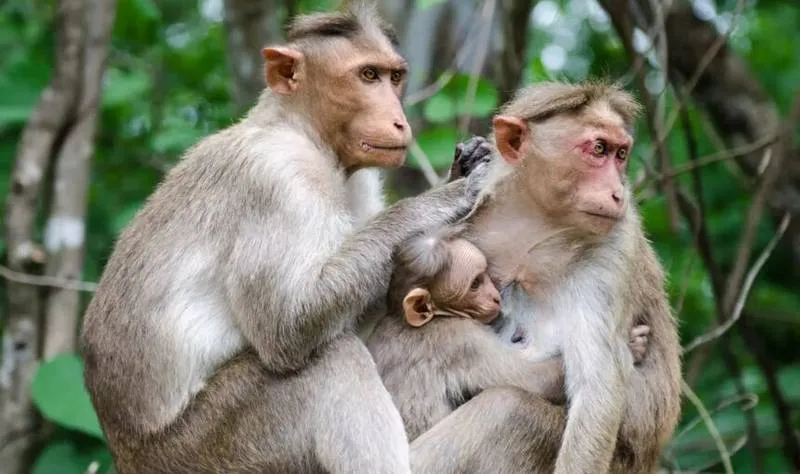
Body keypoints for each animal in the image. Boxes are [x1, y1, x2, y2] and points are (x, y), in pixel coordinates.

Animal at [79, 5, 490, 474]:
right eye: (368, 75)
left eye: (394, 76)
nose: (398, 119)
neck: (301, 133)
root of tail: (127, 455)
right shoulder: (278, 181)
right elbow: (287, 328)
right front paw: (443, 199)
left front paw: (464, 166)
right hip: (212, 448)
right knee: (331, 362)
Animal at [366, 225, 566, 441]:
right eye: (475, 284)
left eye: (485, 274)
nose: (496, 297)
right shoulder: (462, 339)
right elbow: (538, 380)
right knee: (512, 403)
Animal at [407, 82, 682, 474]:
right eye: (599, 149)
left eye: (621, 154)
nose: (617, 192)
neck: (534, 229)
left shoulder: (614, 246)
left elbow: (594, 394)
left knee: (508, 409)